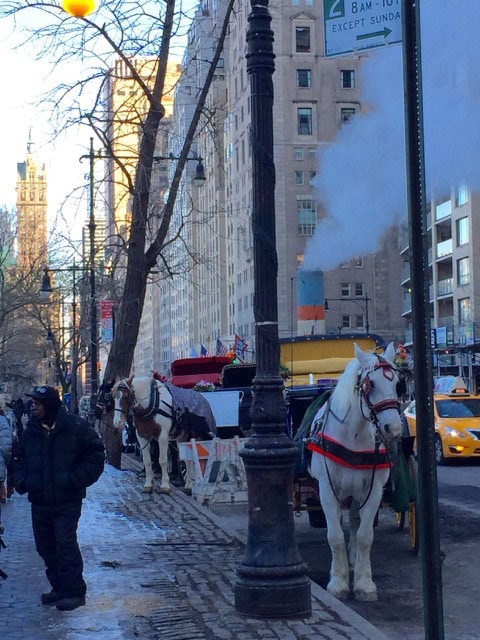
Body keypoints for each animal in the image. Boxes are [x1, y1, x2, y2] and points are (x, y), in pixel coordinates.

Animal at [303, 342, 403, 602]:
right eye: (371, 384)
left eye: (397, 384)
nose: (394, 429)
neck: (354, 435)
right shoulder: (327, 490)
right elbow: (335, 536)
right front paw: (338, 582)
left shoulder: (374, 490)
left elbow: (365, 536)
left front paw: (364, 583)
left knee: (356, 522)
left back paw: (353, 558)